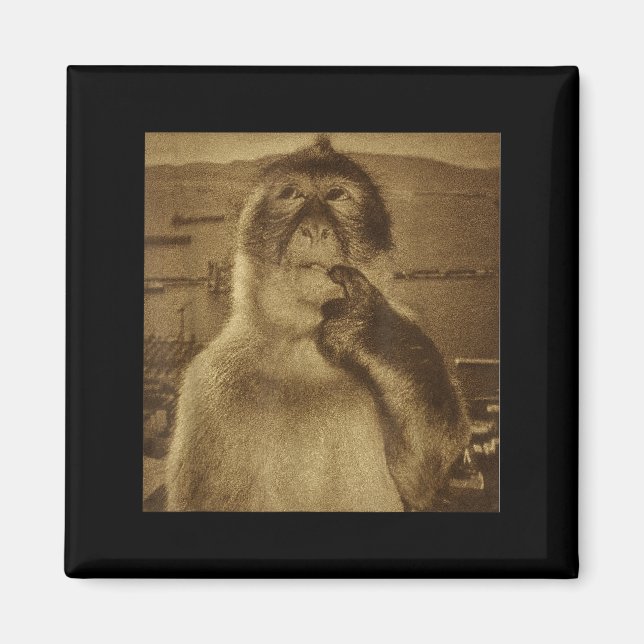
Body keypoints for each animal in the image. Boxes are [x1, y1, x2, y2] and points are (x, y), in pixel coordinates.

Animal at [165, 135, 471, 512]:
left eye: (337, 195)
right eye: (292, 194)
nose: (314, 229)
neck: (302, 342)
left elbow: (423, 473)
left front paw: (367, 328)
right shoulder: (210, 386)